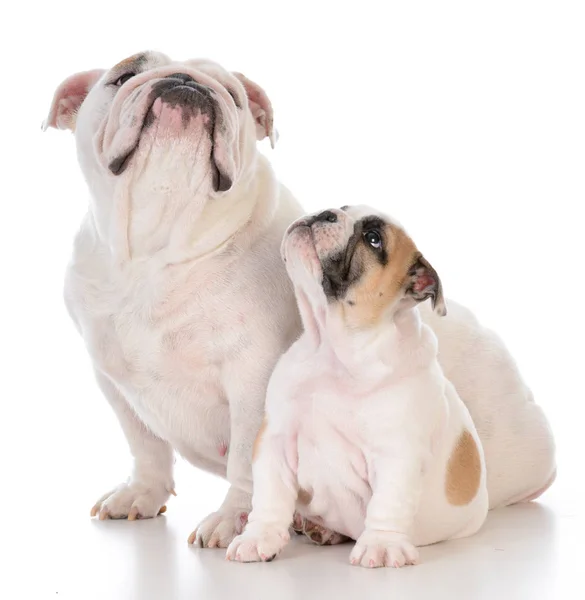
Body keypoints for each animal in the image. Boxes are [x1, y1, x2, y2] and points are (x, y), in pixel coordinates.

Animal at [42, 52, 302, 548]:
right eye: (124, 76)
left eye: (233, 95)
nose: (184, 79)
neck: (158, 246)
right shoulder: (112, 378)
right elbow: (144, 443)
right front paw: (143, 492)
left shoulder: (253, 378)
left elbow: (247, 456)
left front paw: (236, 518)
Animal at [227, 206, 488, 568]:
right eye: (343, 207)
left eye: (374, 239)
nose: (325, 213)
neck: (334, 348)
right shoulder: (275, 441)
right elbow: (269, 495)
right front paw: (258, 537)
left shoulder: (396, 454)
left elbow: (388, 502)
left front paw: (381, 544)